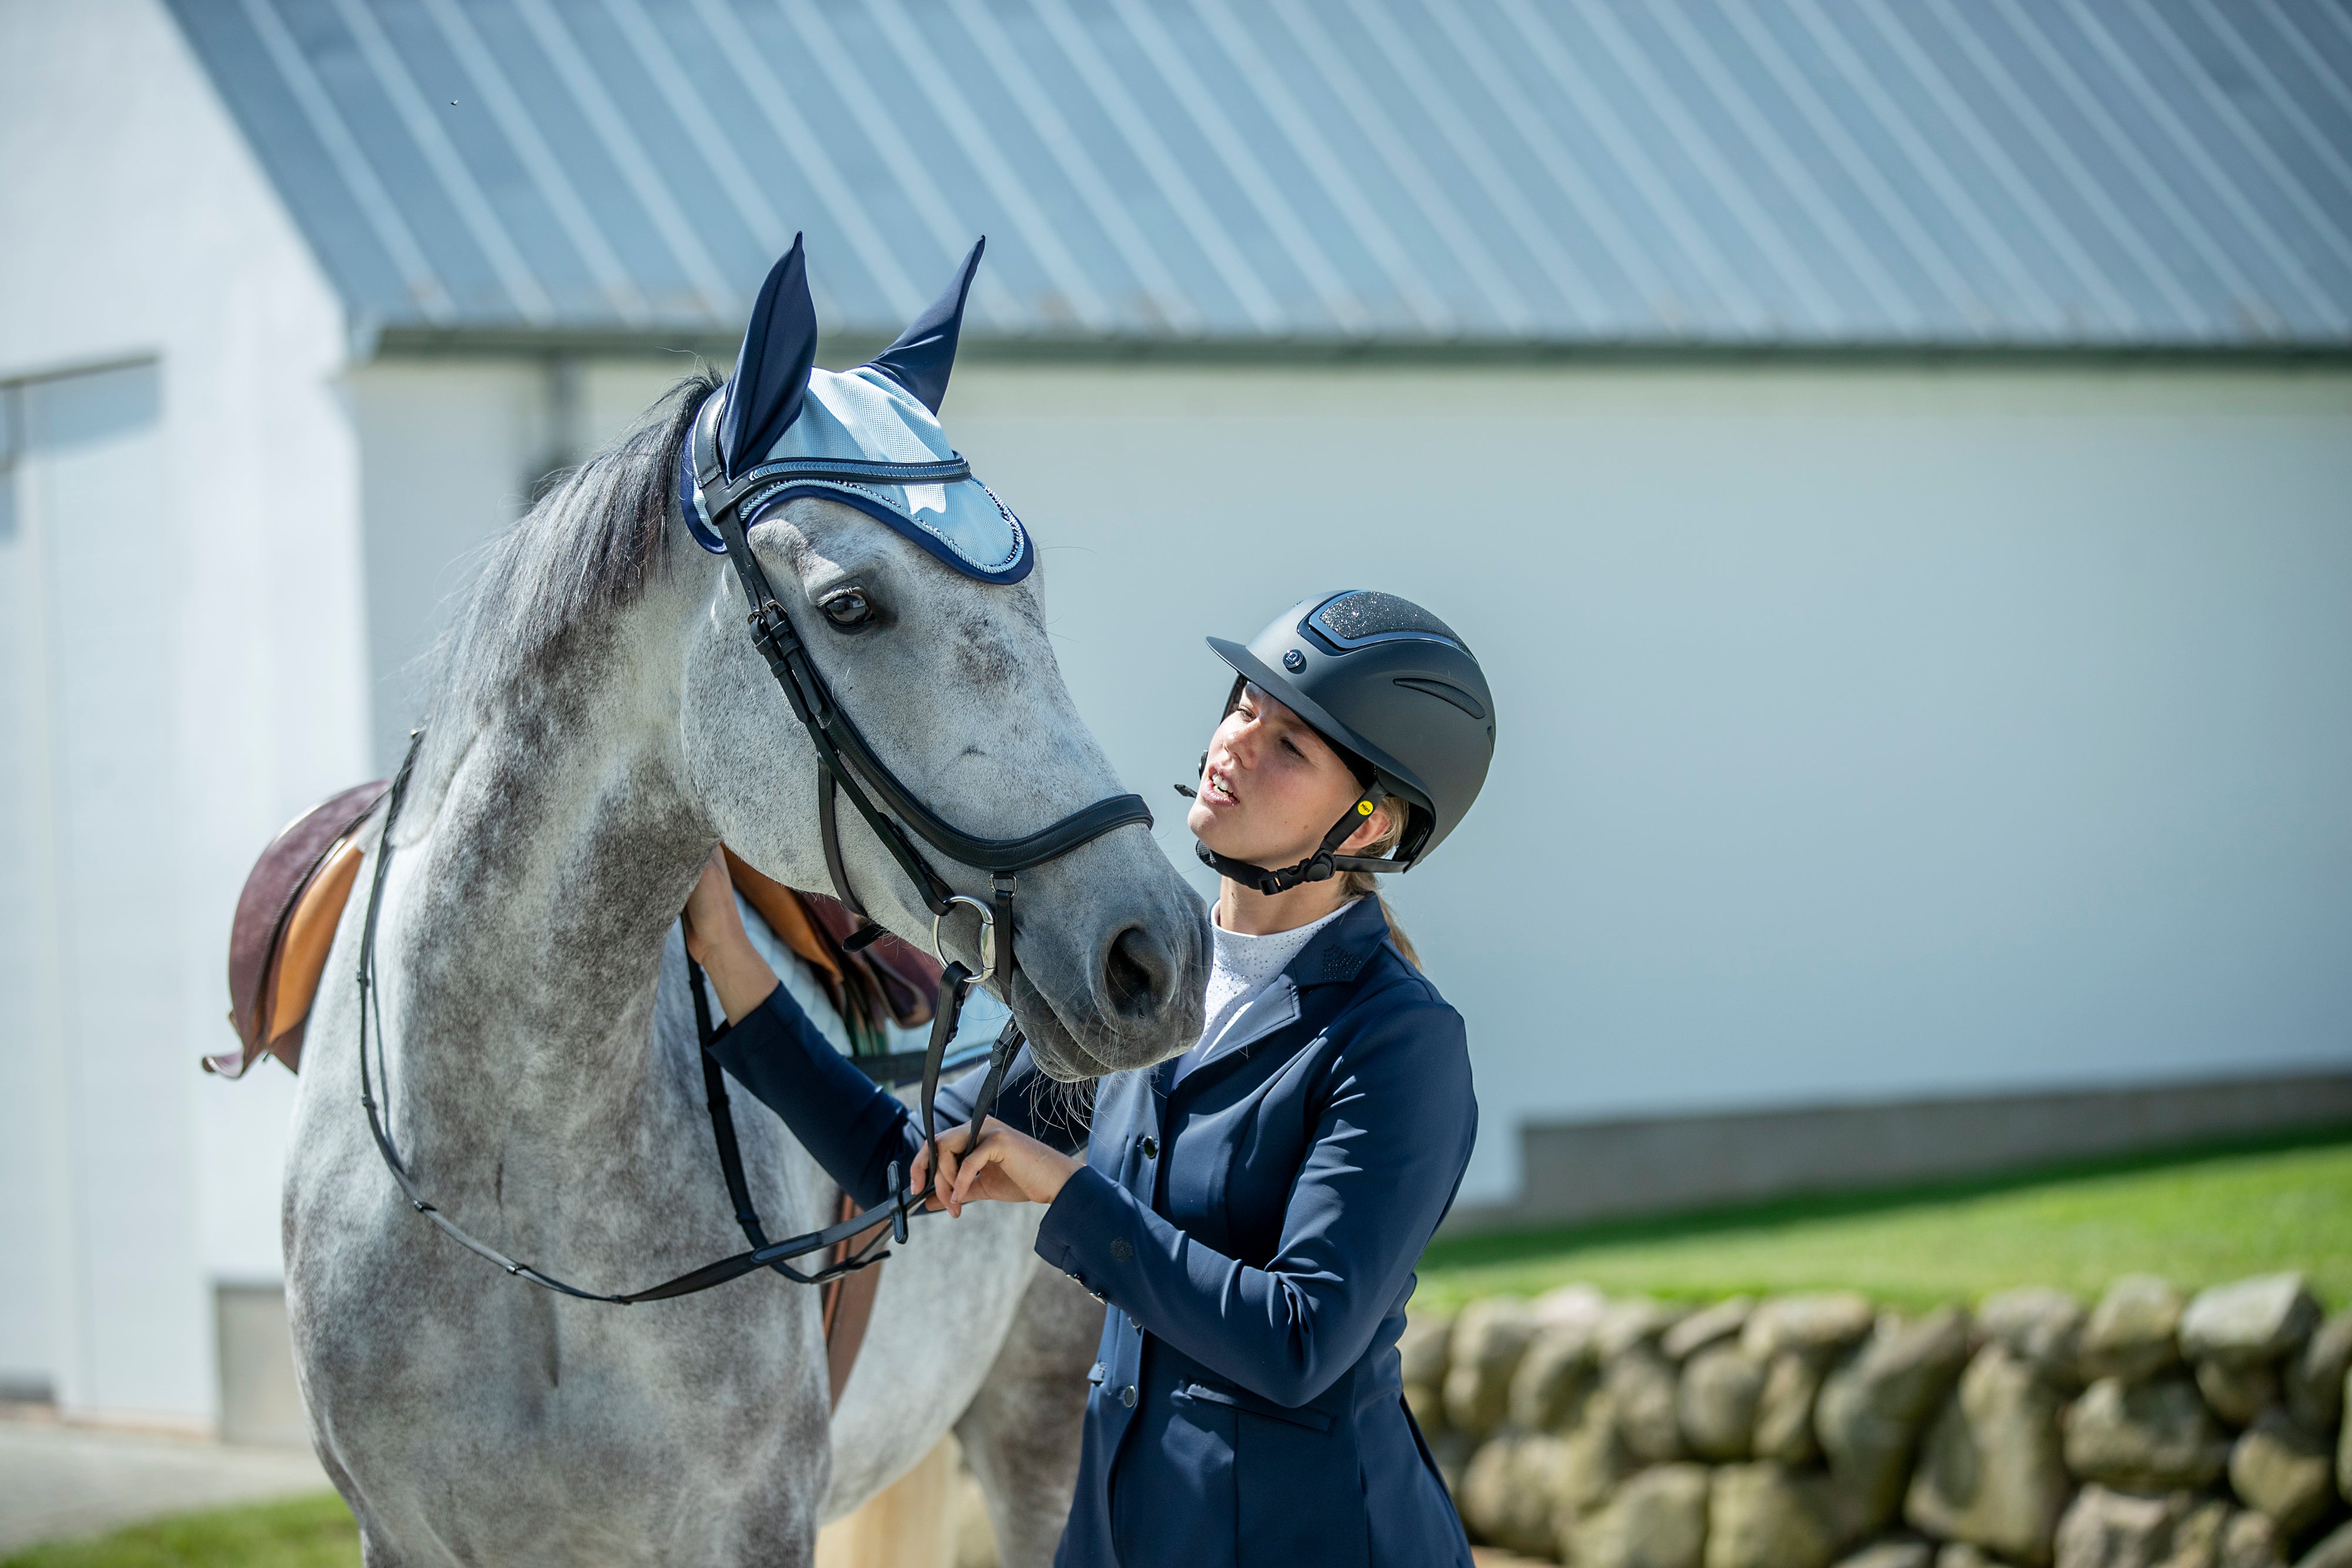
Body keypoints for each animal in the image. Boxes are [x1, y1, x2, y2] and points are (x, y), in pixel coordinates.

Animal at [284, 241, 1209, 1566]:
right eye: (851, 605)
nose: (1155, 952)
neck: (509, 1206)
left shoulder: (749, 1529)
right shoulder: (403, 1537)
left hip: (1039, 1440)